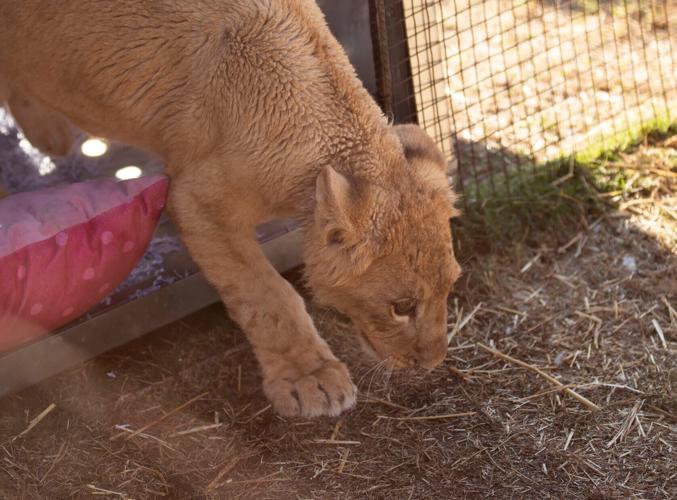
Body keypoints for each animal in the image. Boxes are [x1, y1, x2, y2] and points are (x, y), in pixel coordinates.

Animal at [0, 0, 461, 417]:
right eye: (401, 307)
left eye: (451, 286)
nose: (433, 362)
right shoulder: (196, 198)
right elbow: (268, 294)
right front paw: (310, 379)